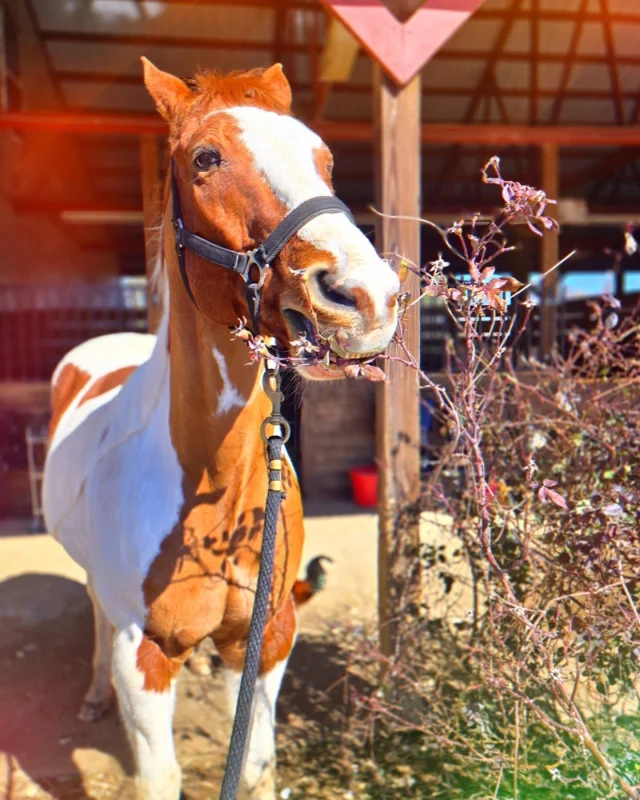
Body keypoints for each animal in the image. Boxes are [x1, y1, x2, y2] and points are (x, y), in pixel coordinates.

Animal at [41, 61, 400, 800]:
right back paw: (90, 695)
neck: (217, 490)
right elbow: (160, 777)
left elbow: (256, 763)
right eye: (205, 158)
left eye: (324, 158)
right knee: (94, 610)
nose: (367, 299)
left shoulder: (270, 636)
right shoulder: (143, 660)